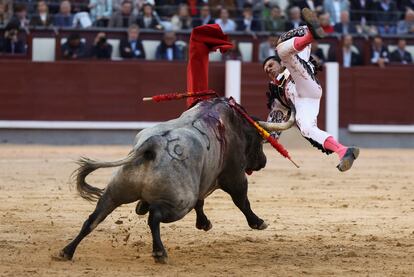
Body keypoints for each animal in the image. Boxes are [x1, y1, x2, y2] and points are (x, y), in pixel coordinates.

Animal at [59, 97, 292, 264]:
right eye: (259, 139)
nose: (263, 161)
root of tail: (151, 145)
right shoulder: (234, 175)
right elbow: (241, 200)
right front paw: (258, 222)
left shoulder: (201, 181)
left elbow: (201, 201)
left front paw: (203, 223)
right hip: (179, 203)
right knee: (154, 216)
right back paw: (159, 253)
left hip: (115, 192)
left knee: (92, 219)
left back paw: (66, 252)